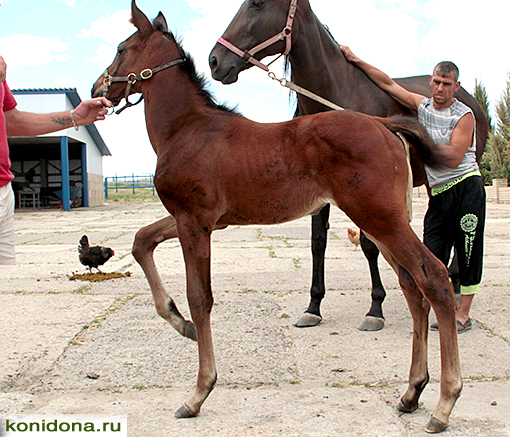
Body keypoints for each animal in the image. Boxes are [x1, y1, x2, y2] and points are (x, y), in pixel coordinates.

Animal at [91, 1, 462, 430]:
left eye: (121, 49)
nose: (97, 89)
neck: (187, 129)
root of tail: (385, 125)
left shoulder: (193, 222)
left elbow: (200, 297)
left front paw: (199, 391)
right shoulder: (200, 219)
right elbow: (141, 241)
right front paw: (179, 323)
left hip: (380, 219)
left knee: (434, 278)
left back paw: (444, 403)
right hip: (382, 224)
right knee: (413, 288)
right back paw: (411, 392)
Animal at [208, 0, 490, 328]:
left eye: (257, 3)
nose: (215, 60)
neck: (334, 95)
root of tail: (470, 101)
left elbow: (369, 245)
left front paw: (375, 308)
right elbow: (318, 242)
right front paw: (313, 306)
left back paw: (455, 292)